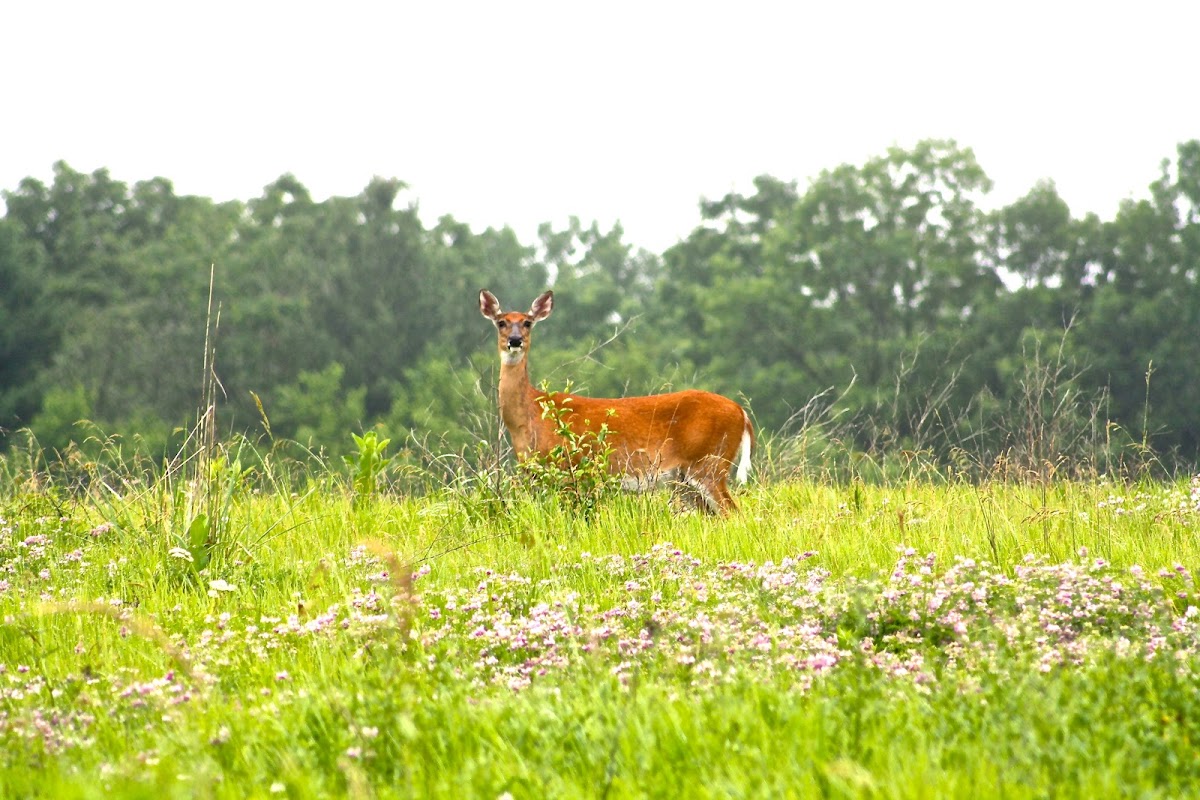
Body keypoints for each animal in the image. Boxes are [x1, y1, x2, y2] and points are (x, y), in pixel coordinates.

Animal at [475, 291, 748, 515]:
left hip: (708, 464)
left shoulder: (568, 469)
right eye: (501, 322)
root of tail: (742, 414)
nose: (515, 340)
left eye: (527, 322)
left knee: (733, 513)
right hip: (683, 479)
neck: (531, 416)